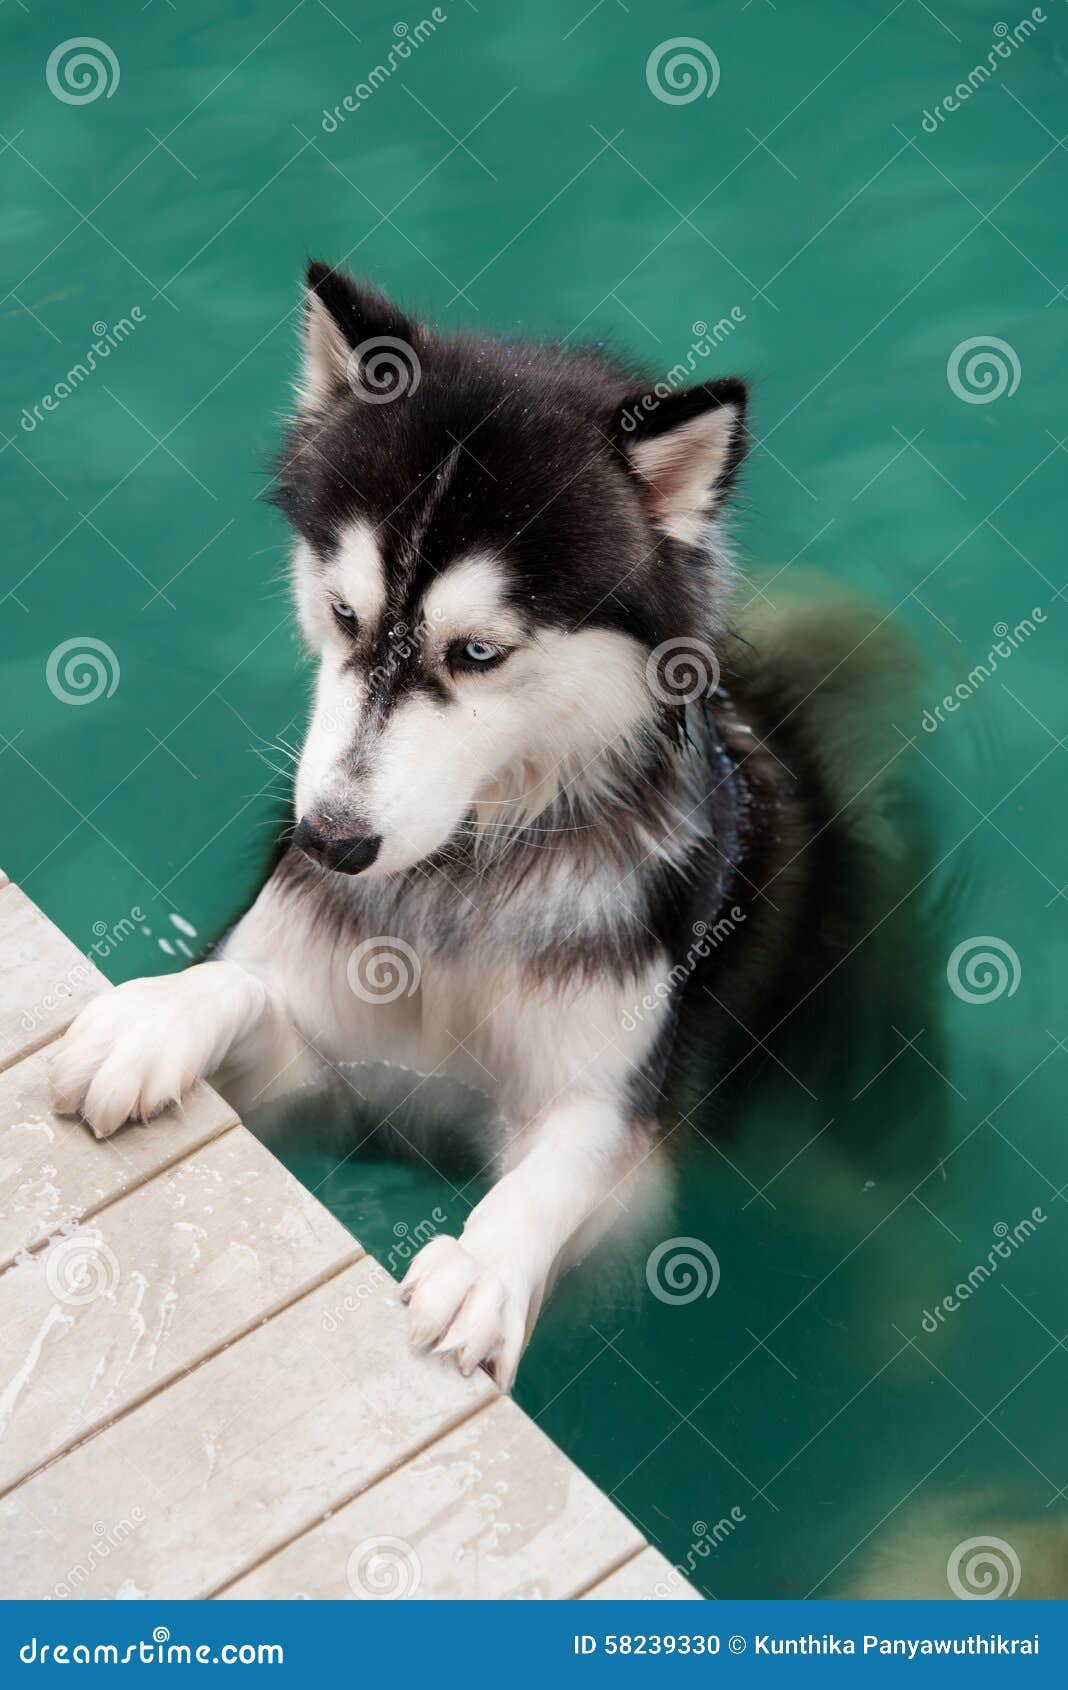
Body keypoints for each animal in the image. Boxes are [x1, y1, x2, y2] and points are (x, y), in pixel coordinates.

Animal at [50, 263, 899, 1392]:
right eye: (345, 615)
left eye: (480, 653)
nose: (330, 842)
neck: (464, 886)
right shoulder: (323, 1076)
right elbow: (239, 986)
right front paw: (150, 1018)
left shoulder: (621, 1141)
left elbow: (572, 1161)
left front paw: (485, 1264)